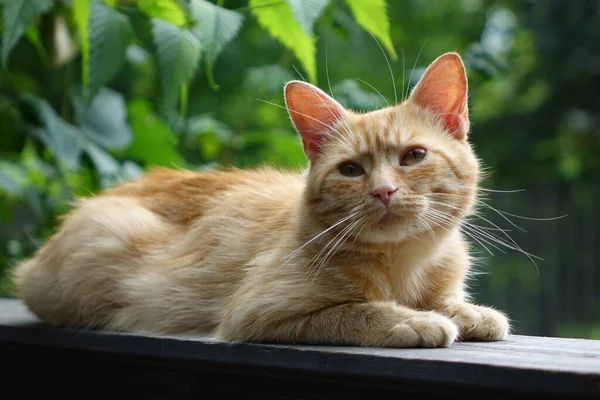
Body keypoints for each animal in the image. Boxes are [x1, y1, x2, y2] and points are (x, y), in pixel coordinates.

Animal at [12, 52, 510, 346]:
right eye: (351, 170)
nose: (384, 191)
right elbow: (355, 312)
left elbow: (447, 302)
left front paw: (467, 312)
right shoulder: (258, 313)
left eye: (413, 156)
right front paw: (414, 321)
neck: (403, 264)